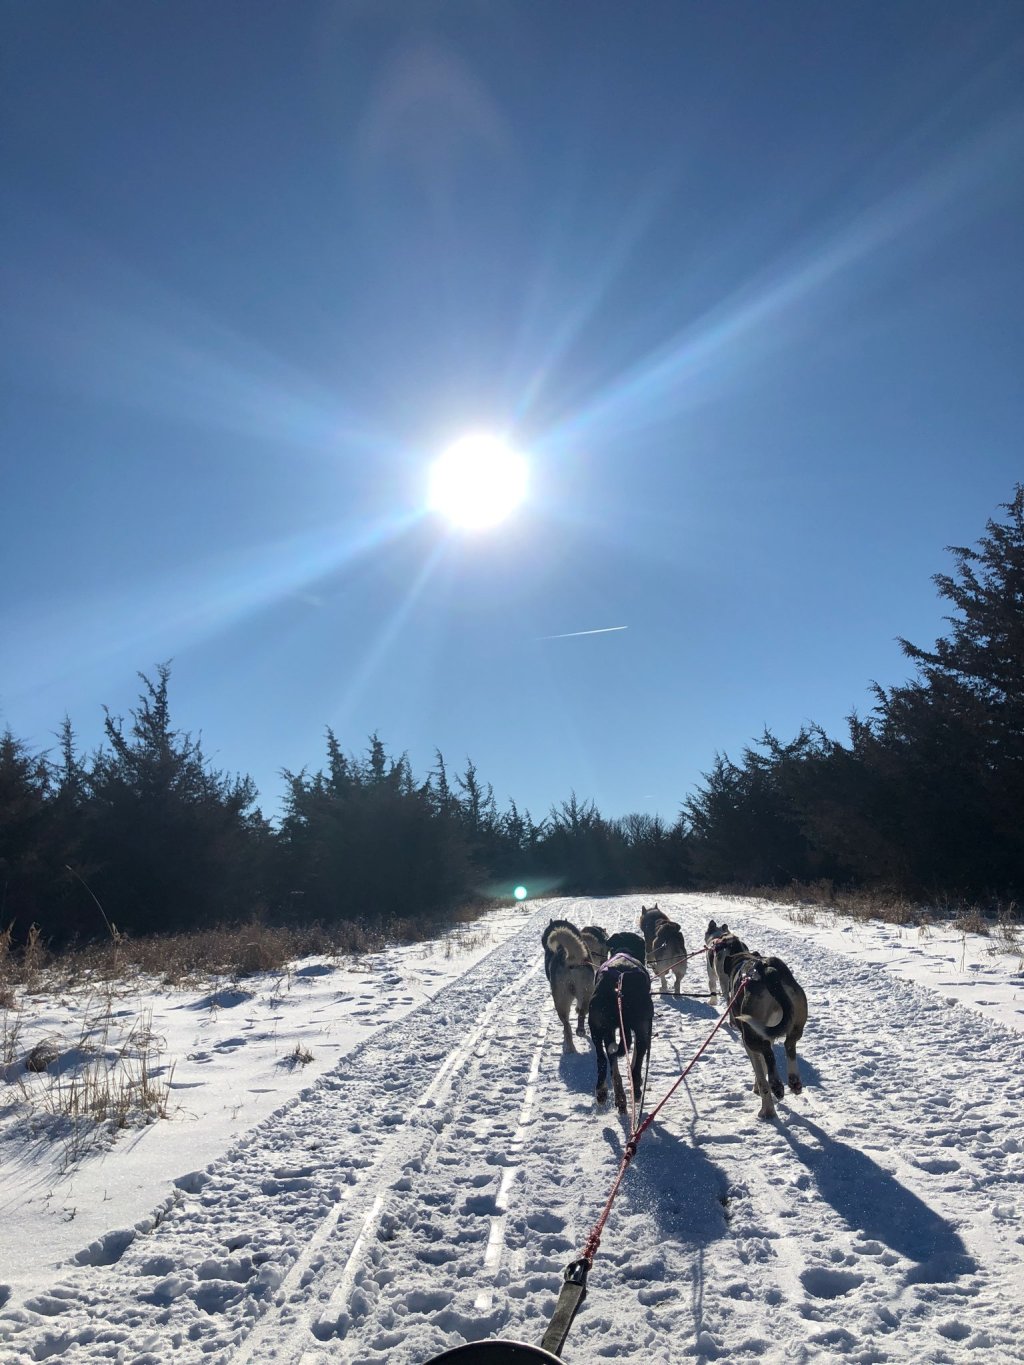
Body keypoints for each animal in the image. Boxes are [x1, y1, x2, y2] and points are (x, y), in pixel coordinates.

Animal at [589, 950, 652, 1108]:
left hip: (598, 1028)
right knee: (634, 1066)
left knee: (604, 1060)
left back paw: (609, 1093)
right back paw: (633, 1092)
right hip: (641, 1029)